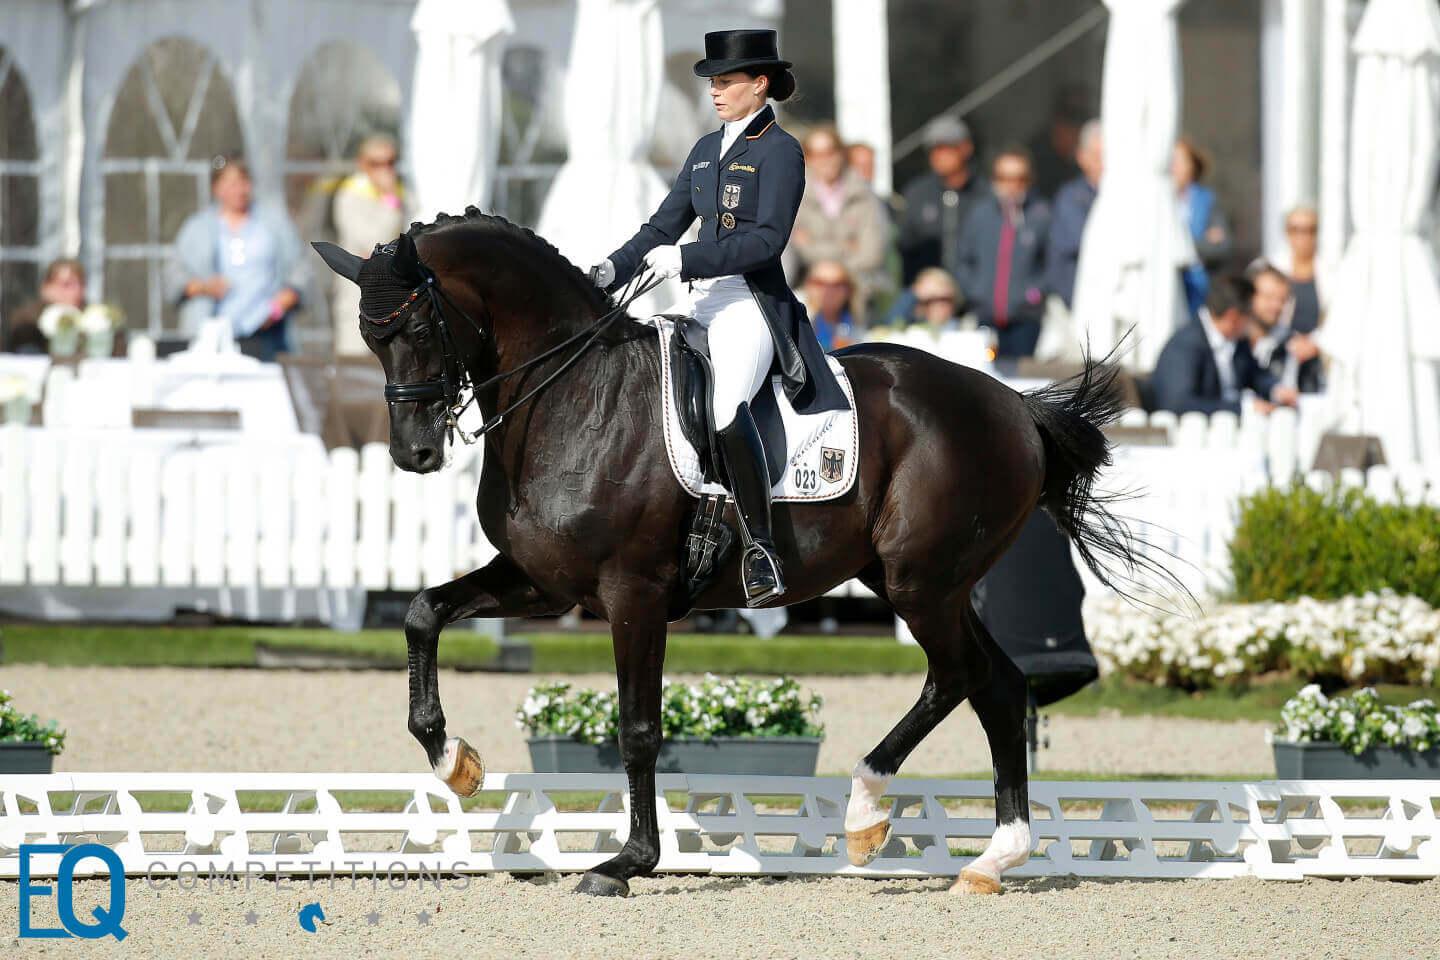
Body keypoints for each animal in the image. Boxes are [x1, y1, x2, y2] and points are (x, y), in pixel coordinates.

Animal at [312, 207, 1146, 898]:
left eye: (420, 329)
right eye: (370, 339)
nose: (414, 453)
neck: (573, 397)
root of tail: (1013, 403)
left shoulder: (633, 594)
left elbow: (637, 729)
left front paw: (627, 863)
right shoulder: (543, 584)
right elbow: (423, 612)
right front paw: (452, 759)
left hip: (922, 583)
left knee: (958, 677)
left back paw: (866, 812)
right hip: (918, 582)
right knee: (997, 687)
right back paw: (991, 858)